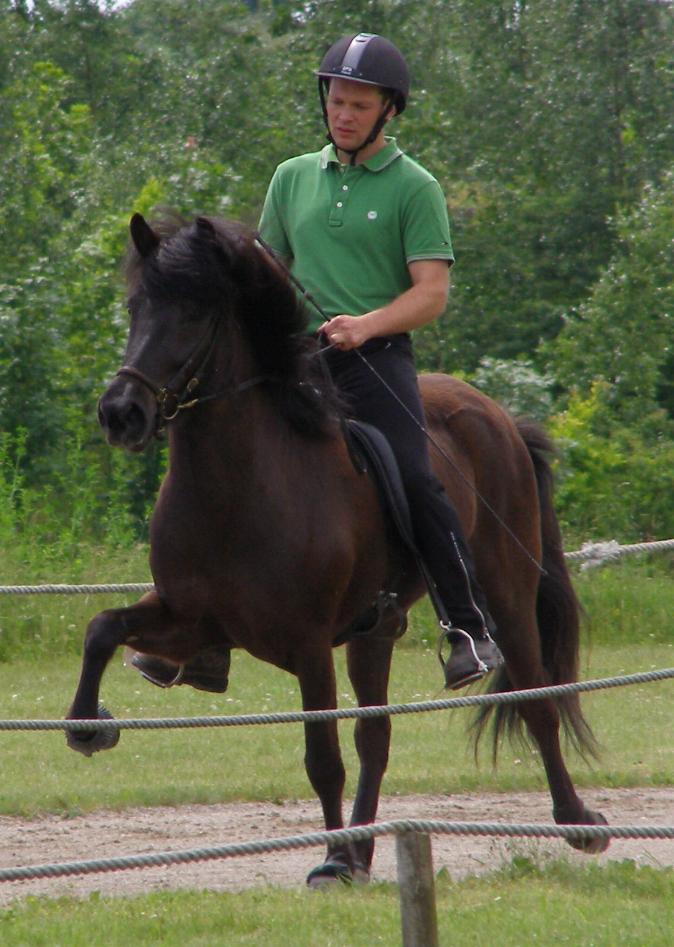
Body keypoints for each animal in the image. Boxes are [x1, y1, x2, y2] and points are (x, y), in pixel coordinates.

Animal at [65, 211, 608, 884]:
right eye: (136, 307)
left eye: (192, 313)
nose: (121, 414)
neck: (237, 487)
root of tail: (500, 416)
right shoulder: (189, 618)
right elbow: (101, 628)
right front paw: (87, 727)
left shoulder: (306, 643)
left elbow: (322, 758)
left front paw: (329, 861)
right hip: (374, 634)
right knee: (377, 739)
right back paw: (366, 847)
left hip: (507, 597)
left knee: (537, 702)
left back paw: (576, 820)